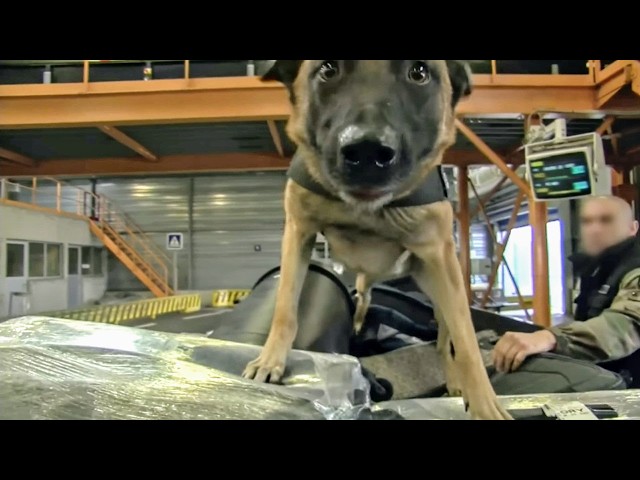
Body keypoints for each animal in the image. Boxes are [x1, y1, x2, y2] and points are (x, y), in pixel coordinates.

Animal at [242, 61, 512, 420]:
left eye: (419, 73)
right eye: (328, 69)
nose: (367, 152)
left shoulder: (441, 259)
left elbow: (466, 343)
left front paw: (484, 403)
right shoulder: (299, 232)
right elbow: (286, 309)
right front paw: (271, 359)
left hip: (438, 286)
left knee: (445, 340)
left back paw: (454, 379)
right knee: (365, 293)